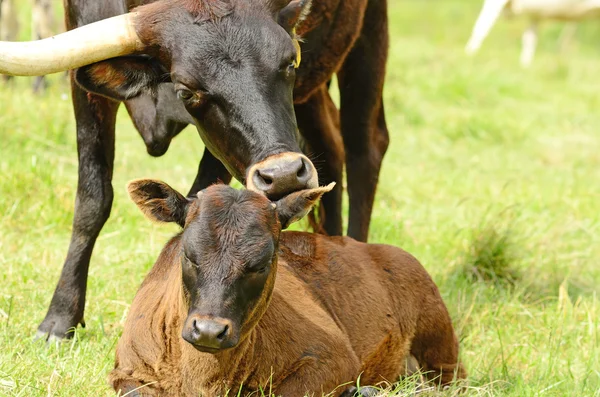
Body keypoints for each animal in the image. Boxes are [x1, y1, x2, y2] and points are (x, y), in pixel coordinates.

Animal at [112, 181, 466, 394]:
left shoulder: (332, 359)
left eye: (263, 262)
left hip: (441, 347)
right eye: (188, 254)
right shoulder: (127, 372)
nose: (210, 331)